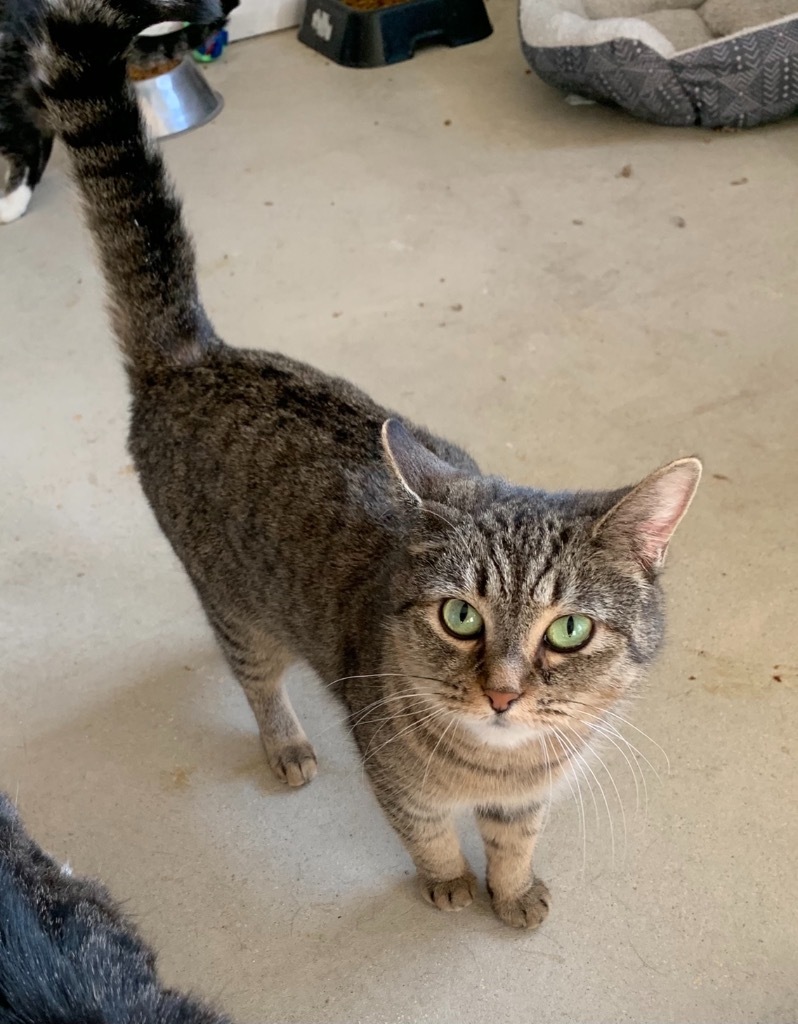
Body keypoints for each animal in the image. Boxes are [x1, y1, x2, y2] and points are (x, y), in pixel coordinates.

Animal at [31, 0, 700, 929]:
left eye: (569, 631)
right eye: (459, 617)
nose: (503, 694)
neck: (498, 764)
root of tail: (199, 353)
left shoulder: (526, 799)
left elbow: (515, 842)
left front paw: (512, 891)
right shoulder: (398, 782)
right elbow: (427, 834)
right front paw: (450, 884)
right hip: (238, 606)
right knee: (256, 680)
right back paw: (285, 743)